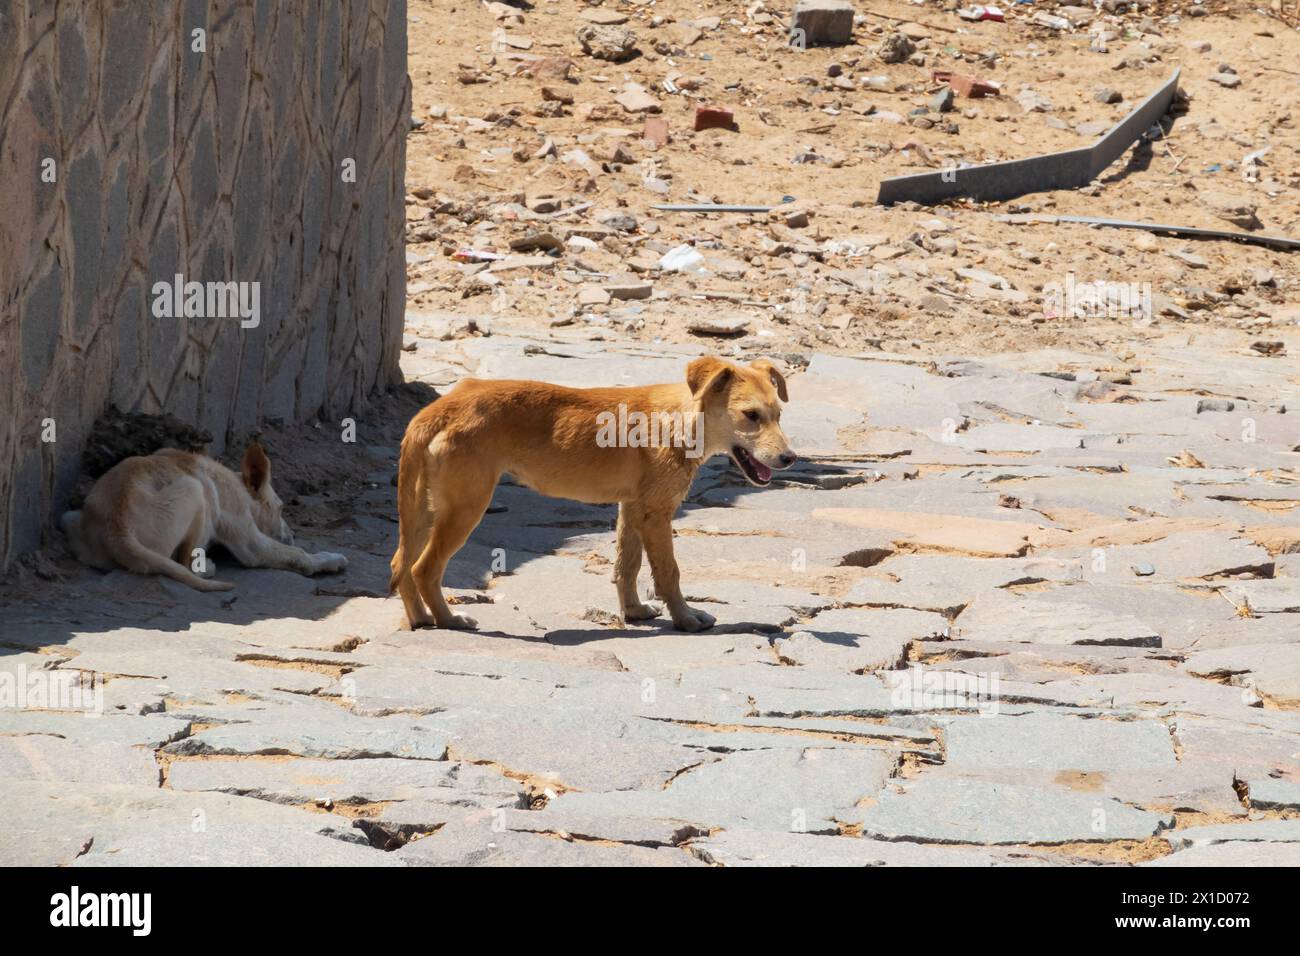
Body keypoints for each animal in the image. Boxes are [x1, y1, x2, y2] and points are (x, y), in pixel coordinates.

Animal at [62, 442, 345, 590]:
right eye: (282, 508)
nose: (293, 535)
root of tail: (118, 531)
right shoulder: (250, 542)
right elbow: (299, 556)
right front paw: (330, 559)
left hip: (70, 517)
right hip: (196, 490)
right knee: (186, 562)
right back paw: (206, 567)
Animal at [387, 356, 790, 632]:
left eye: (778, 414)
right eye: (751, 415)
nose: (790, 458)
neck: (679, 420)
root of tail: (439, 408)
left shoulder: (632, 508)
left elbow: (627, 566)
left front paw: (634, 612)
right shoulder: (658, 513)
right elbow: (669, 573)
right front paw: (686, 618)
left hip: (425, 509)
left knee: (399, 565)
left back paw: (420, 618)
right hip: (465, 507)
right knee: (424, 568)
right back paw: (448, 619)